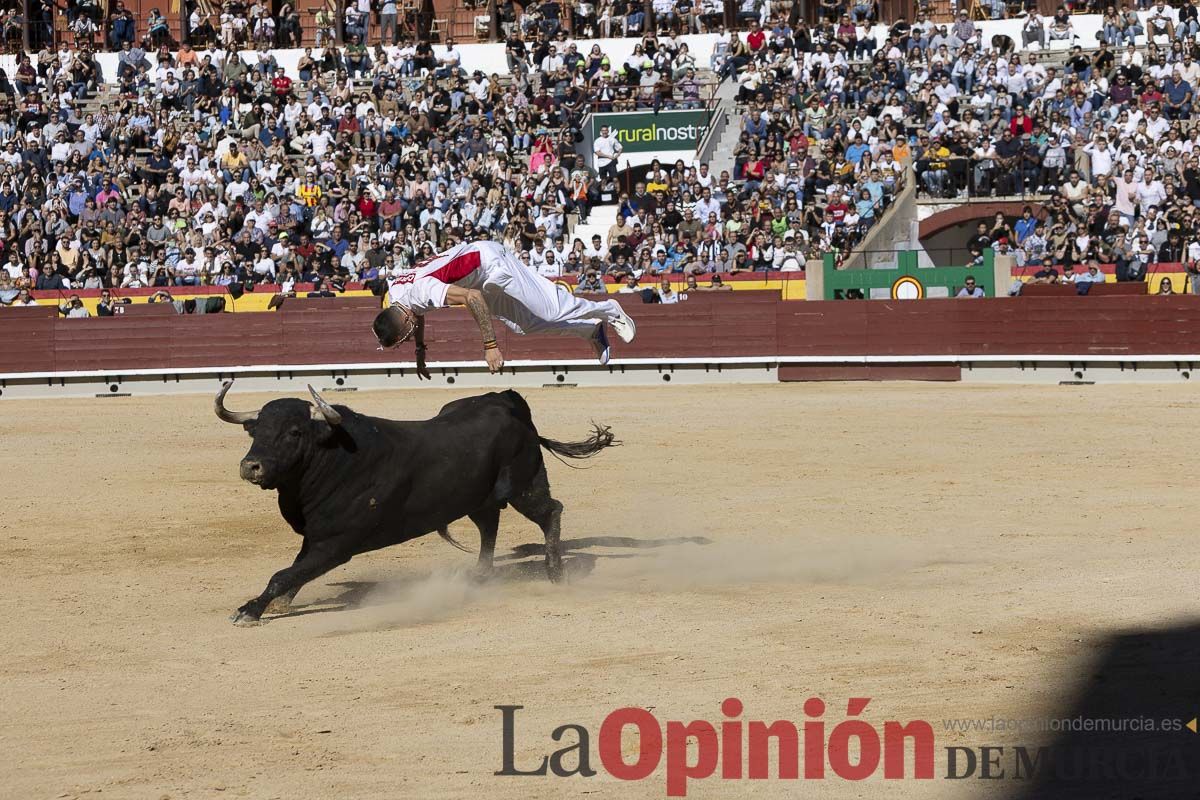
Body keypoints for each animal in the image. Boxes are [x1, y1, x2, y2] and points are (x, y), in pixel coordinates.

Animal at [212, 381, 619, 623]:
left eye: (295, 432)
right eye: (255, 430)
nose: (251, 466)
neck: (334, 456)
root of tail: (506, 401)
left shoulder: (336, 544)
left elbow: (285, 572)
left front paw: (251, 609)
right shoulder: (316, 537)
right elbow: (294, 569)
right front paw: (277, 603)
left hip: (524, 487)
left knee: (550, 512)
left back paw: (555, 572)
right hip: (477, 498)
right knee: (489, 525)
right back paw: (480, 577)